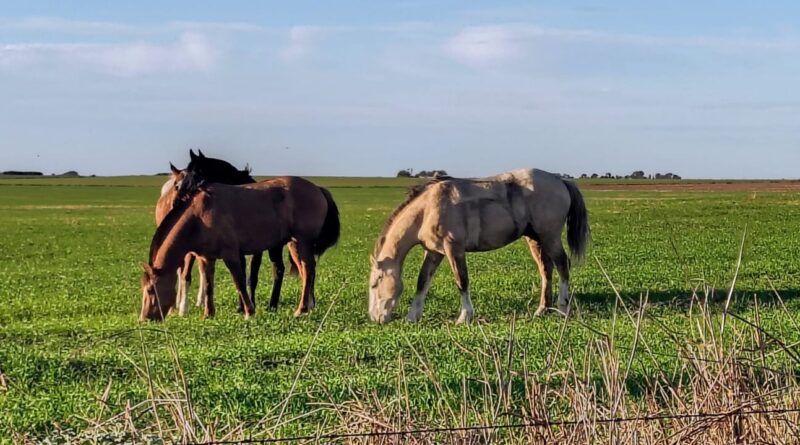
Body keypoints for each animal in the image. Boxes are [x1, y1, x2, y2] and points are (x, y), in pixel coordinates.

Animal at [141, 177, 340, 321]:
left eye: (151, 290)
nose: (144, 318)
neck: (199, 216)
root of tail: (318, 189)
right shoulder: (206, 258)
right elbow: (208, 285)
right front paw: (208, 314)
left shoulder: (230, 255)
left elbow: (239, 282)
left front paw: (249, 312)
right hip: (293, 244)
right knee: (306, 271)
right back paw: (308, 306)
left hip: (301, 242)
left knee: (308, 270)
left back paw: (301, 309)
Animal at [368, 168, 590, 324]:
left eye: (375, 283)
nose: (374, 317)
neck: (428, 209)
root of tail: (559, 179)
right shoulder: (433, 252)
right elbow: (422, 282)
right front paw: (412, 316)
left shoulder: (453, 249)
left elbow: (461, 281)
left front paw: (465, 316)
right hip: (535, 239)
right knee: (546, 270)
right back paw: (542, 309)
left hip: (550, 237)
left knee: (563, 265)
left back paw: (562, 308)